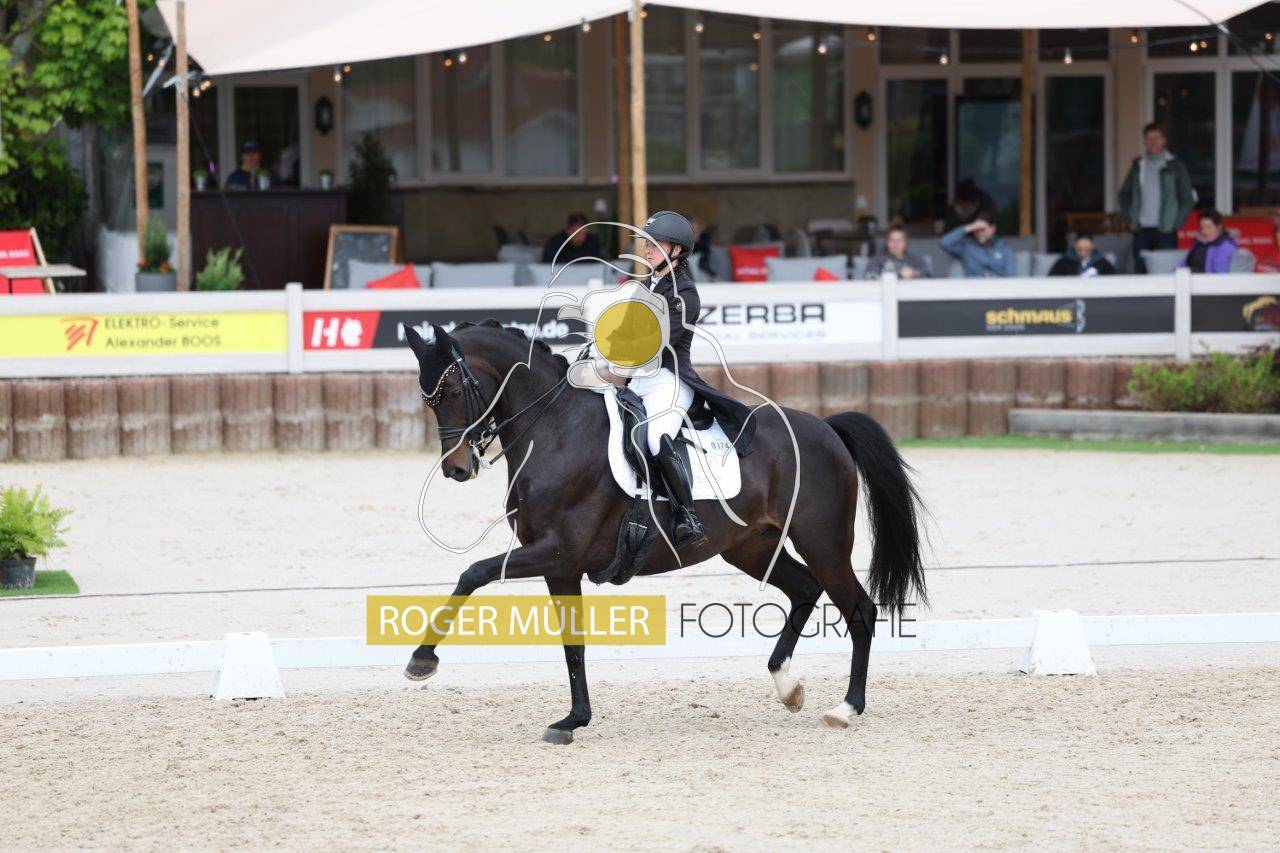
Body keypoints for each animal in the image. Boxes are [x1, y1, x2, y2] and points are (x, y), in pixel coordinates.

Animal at [402, 320, 927, 743]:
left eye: (452, 393)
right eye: (428, 401)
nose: (456, 469)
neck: (554, 428)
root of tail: (825, 427)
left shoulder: (557, 551)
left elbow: (473, 573)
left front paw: (421, 660)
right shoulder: (561, 565)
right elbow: (573, 643)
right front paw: (573, 720)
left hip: (822, 541)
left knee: (858, 609)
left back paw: (846, 708)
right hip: (750, 547)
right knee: (804, 589)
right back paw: (788, 686)